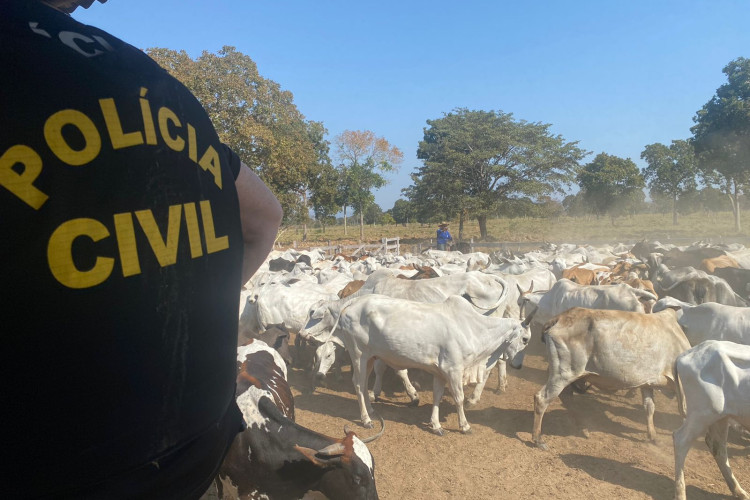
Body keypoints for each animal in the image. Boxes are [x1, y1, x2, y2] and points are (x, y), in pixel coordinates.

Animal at [302, 294, 532, 436]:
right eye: (525, 339)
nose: (518, 366)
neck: (472, 328)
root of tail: (349, 306)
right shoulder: (454, 370)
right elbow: (458, 398)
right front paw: (465, 426)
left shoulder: (440, 372)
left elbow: (437, 396)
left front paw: (436, 425)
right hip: (359, 354)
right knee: (358, 385)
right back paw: (366, 419)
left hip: (370, 357)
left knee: (365, 383)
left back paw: (372, 410)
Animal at [676, 340, 750, 500]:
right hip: (702, 414)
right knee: (680, 440)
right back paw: (680, 493)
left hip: (721, 417)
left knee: (718, 447)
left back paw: (739, 491)